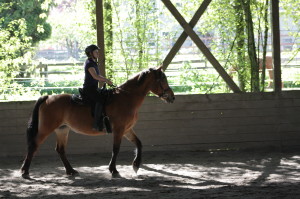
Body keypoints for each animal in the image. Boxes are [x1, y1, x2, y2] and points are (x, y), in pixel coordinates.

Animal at [20, 65, 173, 179]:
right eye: (162, 79)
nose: (172, 97)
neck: (126, 98)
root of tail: (47, 98)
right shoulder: (119, 130)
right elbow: (115, 149)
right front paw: (113, 170)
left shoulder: (127, 129)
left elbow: (139, 144)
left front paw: (136, 165)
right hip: (46, 129)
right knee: (33, 146)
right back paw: (25, 171)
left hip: (62, 129)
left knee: (60, 149)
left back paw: (71, 171)